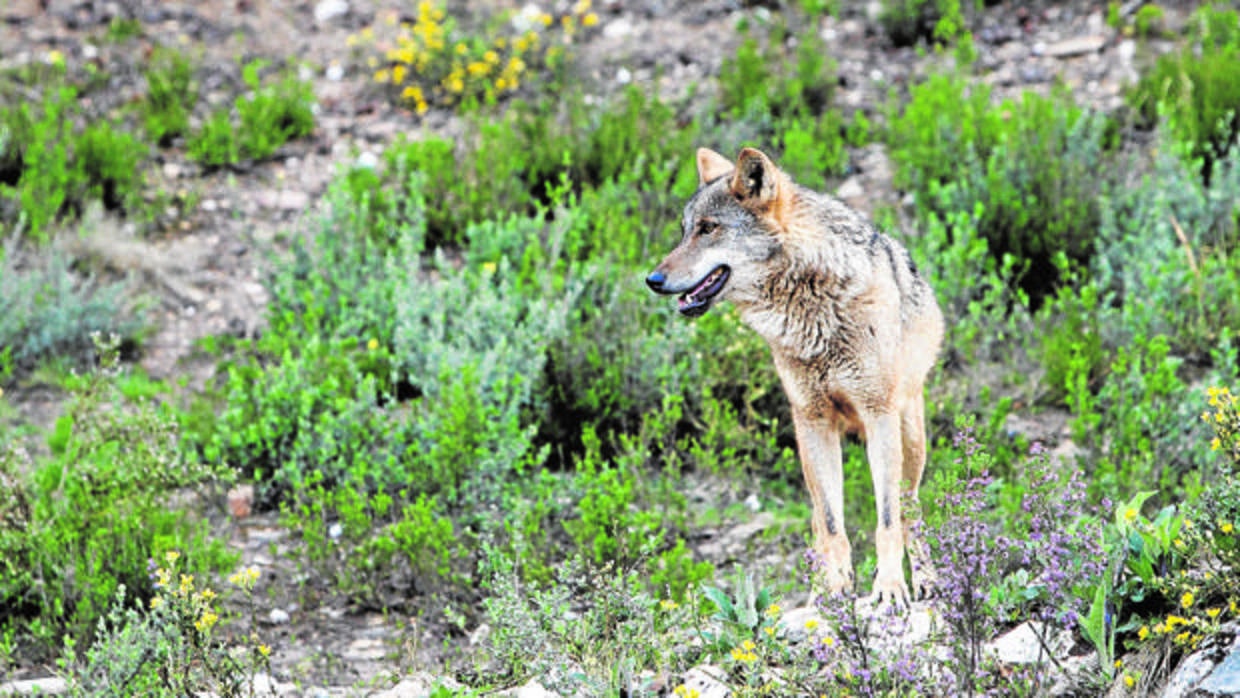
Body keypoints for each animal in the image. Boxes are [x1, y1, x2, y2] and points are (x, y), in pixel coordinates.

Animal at [644, 148, 942, 607]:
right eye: (684, 231)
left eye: (709, 228)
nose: (653, 280)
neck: (813, 306)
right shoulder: (813, 420)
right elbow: (833, 525)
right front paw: (834, 591)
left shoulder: (878, 415)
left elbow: (887, 520)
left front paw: (890, 587)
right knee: (820, 518)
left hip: (909, 437)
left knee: (911, 510)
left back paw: (926, 580)